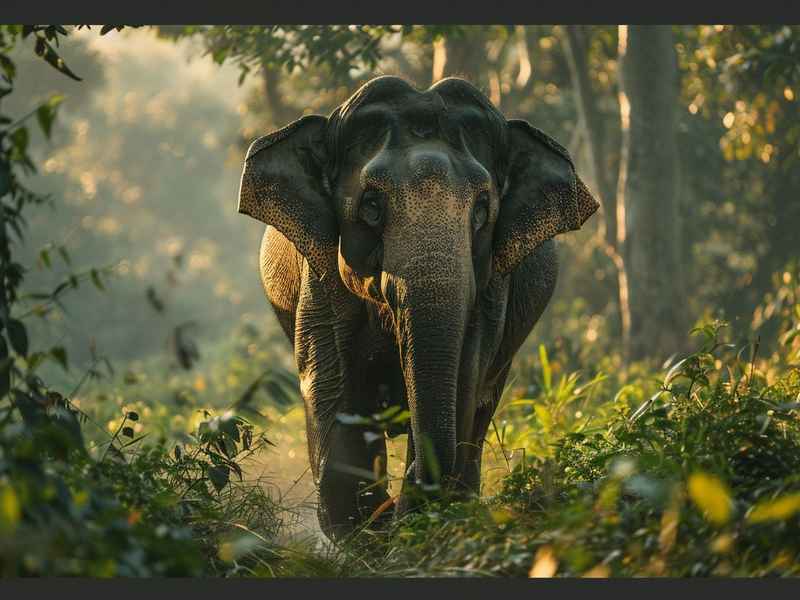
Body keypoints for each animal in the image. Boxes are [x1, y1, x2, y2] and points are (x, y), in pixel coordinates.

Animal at [237, 76, 598, 540]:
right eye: (372, 206)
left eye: (482, 210)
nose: (402, 502)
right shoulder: (320, 279)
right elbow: (331, 384)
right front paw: (372, 527)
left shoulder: (492, 291)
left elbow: (465, 377)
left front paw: (410, 522)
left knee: (482, 407)